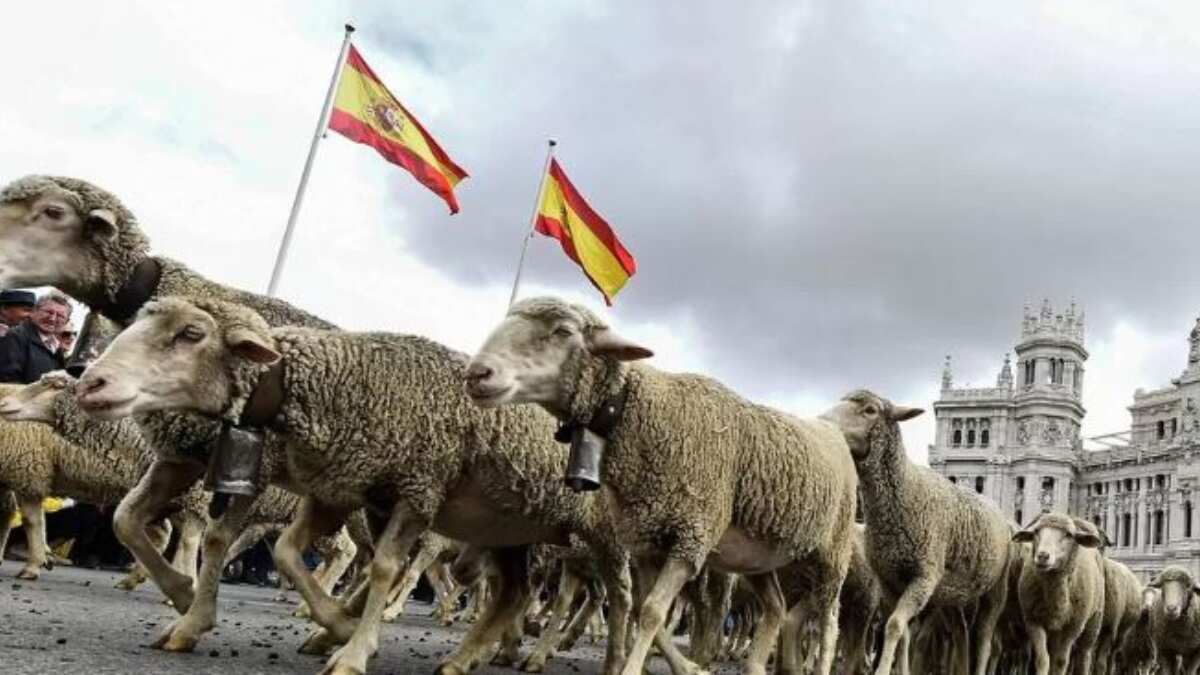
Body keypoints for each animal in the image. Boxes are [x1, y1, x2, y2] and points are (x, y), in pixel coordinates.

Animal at [0, 174, 343, 654]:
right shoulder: (182, 456)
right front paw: (181, 591)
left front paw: (189, 616)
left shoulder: (238, 469)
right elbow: (128, 520)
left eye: (53, 212)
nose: (5, 404)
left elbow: (207, 540)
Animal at [73, 295, 636, 675]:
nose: (90, 382)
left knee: (617, 602)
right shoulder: (335, 489)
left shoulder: (416, 488)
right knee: (512, 594)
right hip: (510, 529)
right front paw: (330, 624)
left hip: (602, 539)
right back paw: (464, 656)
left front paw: (352, 644)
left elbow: (382, 566)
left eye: (191, 334)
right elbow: (282, 550)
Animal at [465, 296, 859, 675]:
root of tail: (831, 430)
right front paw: (689, 667)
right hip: (758, 557)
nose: (477, 374)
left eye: (563, 331)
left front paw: (633, 668)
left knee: (829, 623)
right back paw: (755, 667)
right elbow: (644, 609)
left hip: (832, 555)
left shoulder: (690, 538)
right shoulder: (646, 542)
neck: (648, 414)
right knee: (776, 608)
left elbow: (655, 611)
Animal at [819, 389, 1013, 675]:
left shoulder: (924, 578)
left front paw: (882, 670)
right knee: (961, 634)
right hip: (954, 593)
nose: (822, 423)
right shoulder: (889, 582)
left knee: (984, 640)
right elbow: (902, 633)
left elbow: (894, 626)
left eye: (870, 410)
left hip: (995, 591)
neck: (907, 490)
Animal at [1011, 512, 1106, 675]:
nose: (1043, 555)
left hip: (1093, 623)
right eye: (1036, 531)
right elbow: (1042, 659)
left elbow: (1061, 661)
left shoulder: (1072, 627)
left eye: (1069, 534)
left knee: (1083, 656)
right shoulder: (1032, 621)